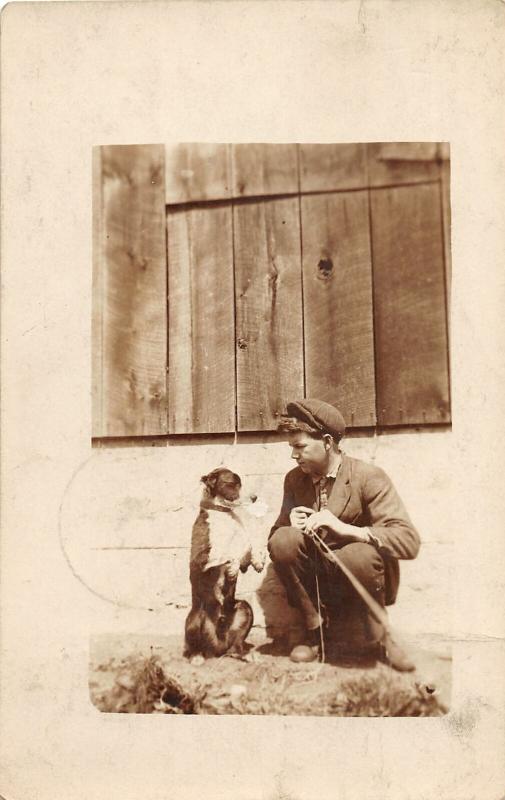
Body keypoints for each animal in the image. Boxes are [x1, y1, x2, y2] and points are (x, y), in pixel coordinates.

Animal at [184, 466, 264, 660]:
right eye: (233, 483)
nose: (255, 497)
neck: (224, 513)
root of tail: (215, 650)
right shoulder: (200, 561)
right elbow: (226, 556)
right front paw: (232, 568)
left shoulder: (244, 555)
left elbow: (249, 548)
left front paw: (259, 560)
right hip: (194, 618)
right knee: (193, 646)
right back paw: (196, 657)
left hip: (244, 608)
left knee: (236, 645)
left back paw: (245, 655)